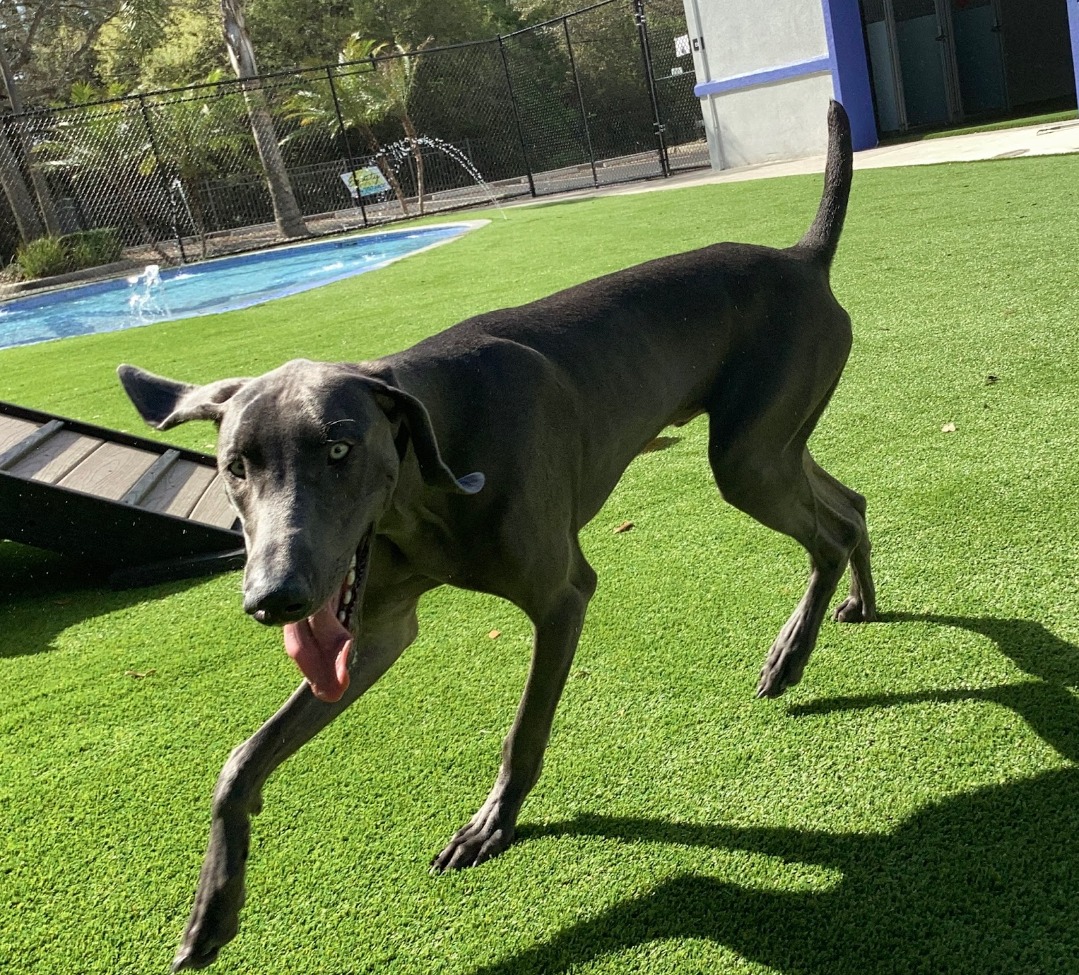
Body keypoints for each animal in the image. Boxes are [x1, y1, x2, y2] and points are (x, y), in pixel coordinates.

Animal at [118, 100, 874, 970]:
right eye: (234, 465)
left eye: (339, 449)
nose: (273, 597)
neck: (430, 480)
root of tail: (801, 259)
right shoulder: (377, 629)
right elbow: (240, 759)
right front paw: (211, 910)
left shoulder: (560, 595)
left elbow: (524, 729)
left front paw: (492, 824)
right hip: (770, 444)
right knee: (849, 508)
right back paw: (857, 605)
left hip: (748, 454)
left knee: (823, 537)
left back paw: (789, 655)